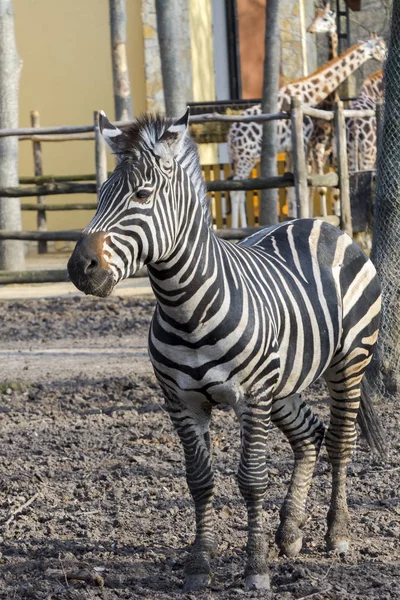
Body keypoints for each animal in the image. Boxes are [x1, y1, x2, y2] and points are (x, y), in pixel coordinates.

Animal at [68, 110, 384, 592]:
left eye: (142, 195)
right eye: (99, 196)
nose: (79, 268)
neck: (185, 308)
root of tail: (320, 223)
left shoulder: (250, 398)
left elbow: (251, 480)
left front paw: (255, 569)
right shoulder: (180, 401)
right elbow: (199, 481)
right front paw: (199, 565)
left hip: (349, 362)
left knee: (340, 442)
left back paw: (337, 534)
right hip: (284, 383)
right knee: (309, 436)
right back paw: (290, 532)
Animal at [227, 35, 386, 227]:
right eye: (381, 47)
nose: (386, 58)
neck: (308, 94)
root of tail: (230, 135)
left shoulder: (292, 148)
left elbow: (291, 186)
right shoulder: (303, 142)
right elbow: (304, 184)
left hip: (240, 157)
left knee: (240, 189)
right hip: (247, 156)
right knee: (236, 190)